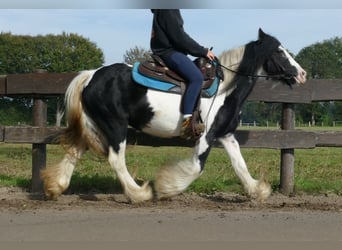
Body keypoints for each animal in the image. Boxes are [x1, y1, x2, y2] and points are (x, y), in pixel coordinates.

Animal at [41, 28, 306, 203]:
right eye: (280, 52)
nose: (302, 74)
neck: (225, 88)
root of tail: (91, 75)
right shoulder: (207, 136)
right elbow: (197, 167)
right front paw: (168, 187)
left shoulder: (226, 134)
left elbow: (239, 164)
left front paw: (257, 190)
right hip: (115, 125)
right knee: (116, 159)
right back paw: (140, 193)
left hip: (94, 125)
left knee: (75, 151)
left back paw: (56, 187)